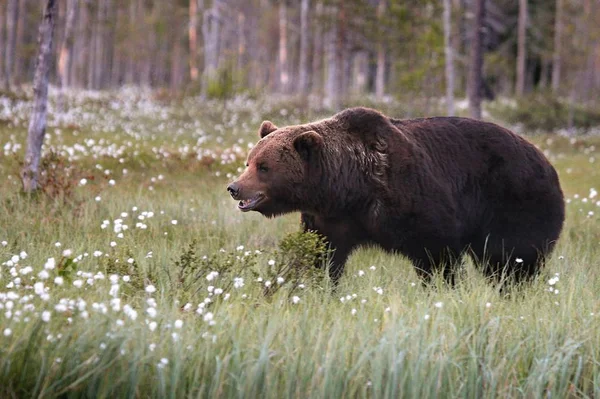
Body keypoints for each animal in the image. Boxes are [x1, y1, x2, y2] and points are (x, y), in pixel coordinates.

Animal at [227, 108, 564, 286]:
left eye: (264, 166)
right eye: (249, 162)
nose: (234, 188)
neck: (350, 187)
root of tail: (546, 160)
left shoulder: (414, 199)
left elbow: (437, 253)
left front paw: (441, 286)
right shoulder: (331, 219)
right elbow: (323, 255)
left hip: (515, 201)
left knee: (511, 257)